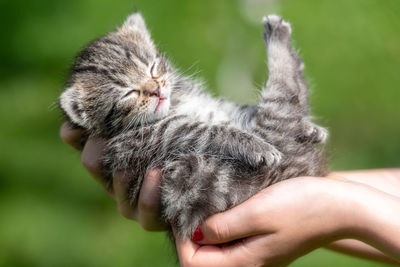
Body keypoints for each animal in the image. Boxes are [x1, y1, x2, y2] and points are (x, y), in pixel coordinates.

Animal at [60, 12, 328, 240]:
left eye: (153, 67)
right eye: (129, 93)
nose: (156, 90)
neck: (176, 103)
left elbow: (238, 109)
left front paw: (311, 128)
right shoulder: (154, 135)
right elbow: (209, 129)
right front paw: (252, 144)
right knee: (284, 99)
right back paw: (276, 36)